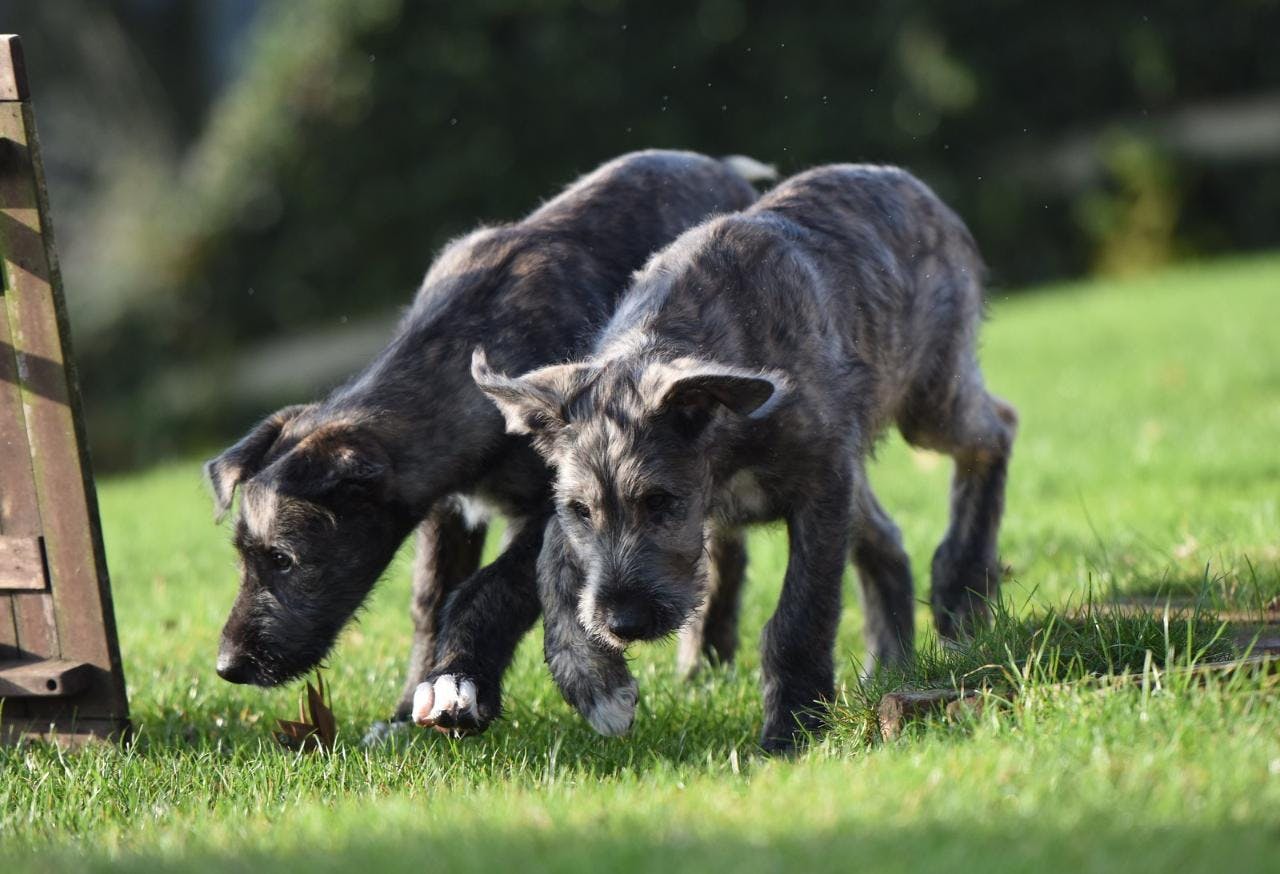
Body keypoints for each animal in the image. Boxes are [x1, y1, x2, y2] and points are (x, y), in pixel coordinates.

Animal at [202, 150, 768, 737]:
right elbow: (429, 600)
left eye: (283, 558)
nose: (228, 667)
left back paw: (706, 659)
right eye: (245, 555)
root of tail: (725, 168)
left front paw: (460, 684)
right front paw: (407, 707)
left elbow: (489, 587)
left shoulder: (560, 508)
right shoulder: (446, 511)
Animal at [476, 163, 1013, 752]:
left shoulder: (823, 482)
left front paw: (793, 723)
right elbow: (551, 560)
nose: (623, 623)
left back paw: (963, 580)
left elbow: (800, 612)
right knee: (889, 536)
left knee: (997, 429)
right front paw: (595, 681)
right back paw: (892, 660)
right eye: (581, 511)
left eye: (660, 501)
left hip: (929, 398)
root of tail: (914, 187)